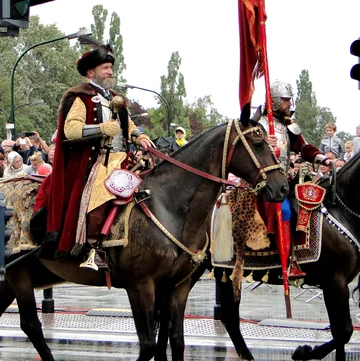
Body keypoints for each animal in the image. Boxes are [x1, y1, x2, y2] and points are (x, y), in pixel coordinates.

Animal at [0, 112, 288, 360]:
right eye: (258, 143)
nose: (282, 187)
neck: (171, 205)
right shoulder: (140, 286)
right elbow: (149, 345)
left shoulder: (178, 286)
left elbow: (176, 342)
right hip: (18, 273)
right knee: (31, 324)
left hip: (18, 276)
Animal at [211, 153, 360, 360]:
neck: (340, 210)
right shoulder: (334, 282)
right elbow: (344, 331)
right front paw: (303, 351)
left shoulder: (339, 284)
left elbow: (340, 336)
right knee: (230, 317)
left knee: (230, 317)